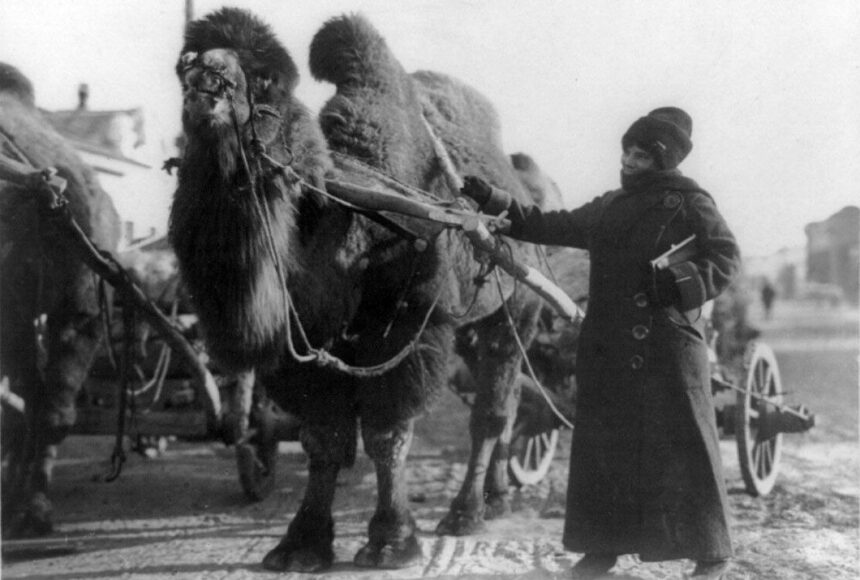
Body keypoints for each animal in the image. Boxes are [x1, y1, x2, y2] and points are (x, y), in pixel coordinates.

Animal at [168, 7, 544, 572]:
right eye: (183, 64)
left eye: (264, 79)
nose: (207, 75)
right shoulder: (304, 346)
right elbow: (323, 439)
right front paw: (300, 545)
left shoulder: (411, 328)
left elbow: (387, 434)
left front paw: (392, 542)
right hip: (474, 326)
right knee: (511, 402)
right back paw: (497, 498)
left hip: (514, 311)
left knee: (492, 413)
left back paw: (465, 513)